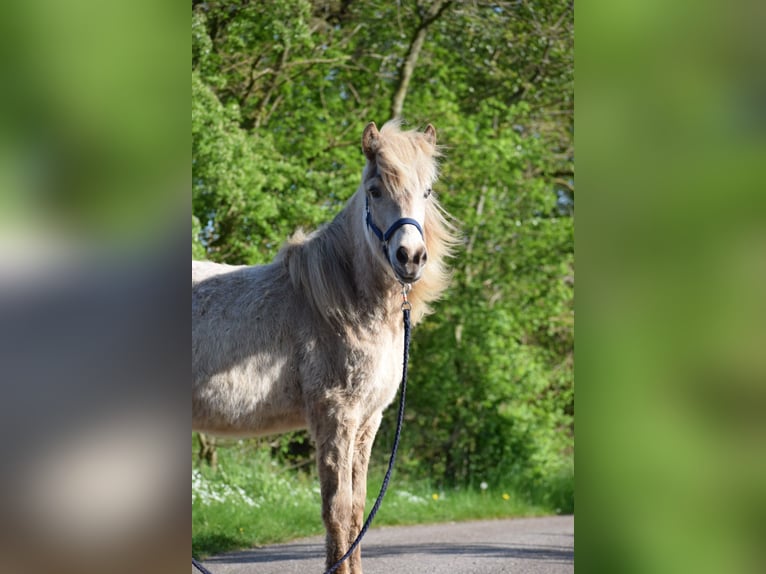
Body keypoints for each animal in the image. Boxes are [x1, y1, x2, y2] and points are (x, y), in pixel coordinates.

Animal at [192, 120, 457, 573]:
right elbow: (337, 510)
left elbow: (357, 511)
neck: (342, 304)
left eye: (427, 191)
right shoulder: (336, 416)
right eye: (375, 190)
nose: (410, 257)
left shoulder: (368, 421)